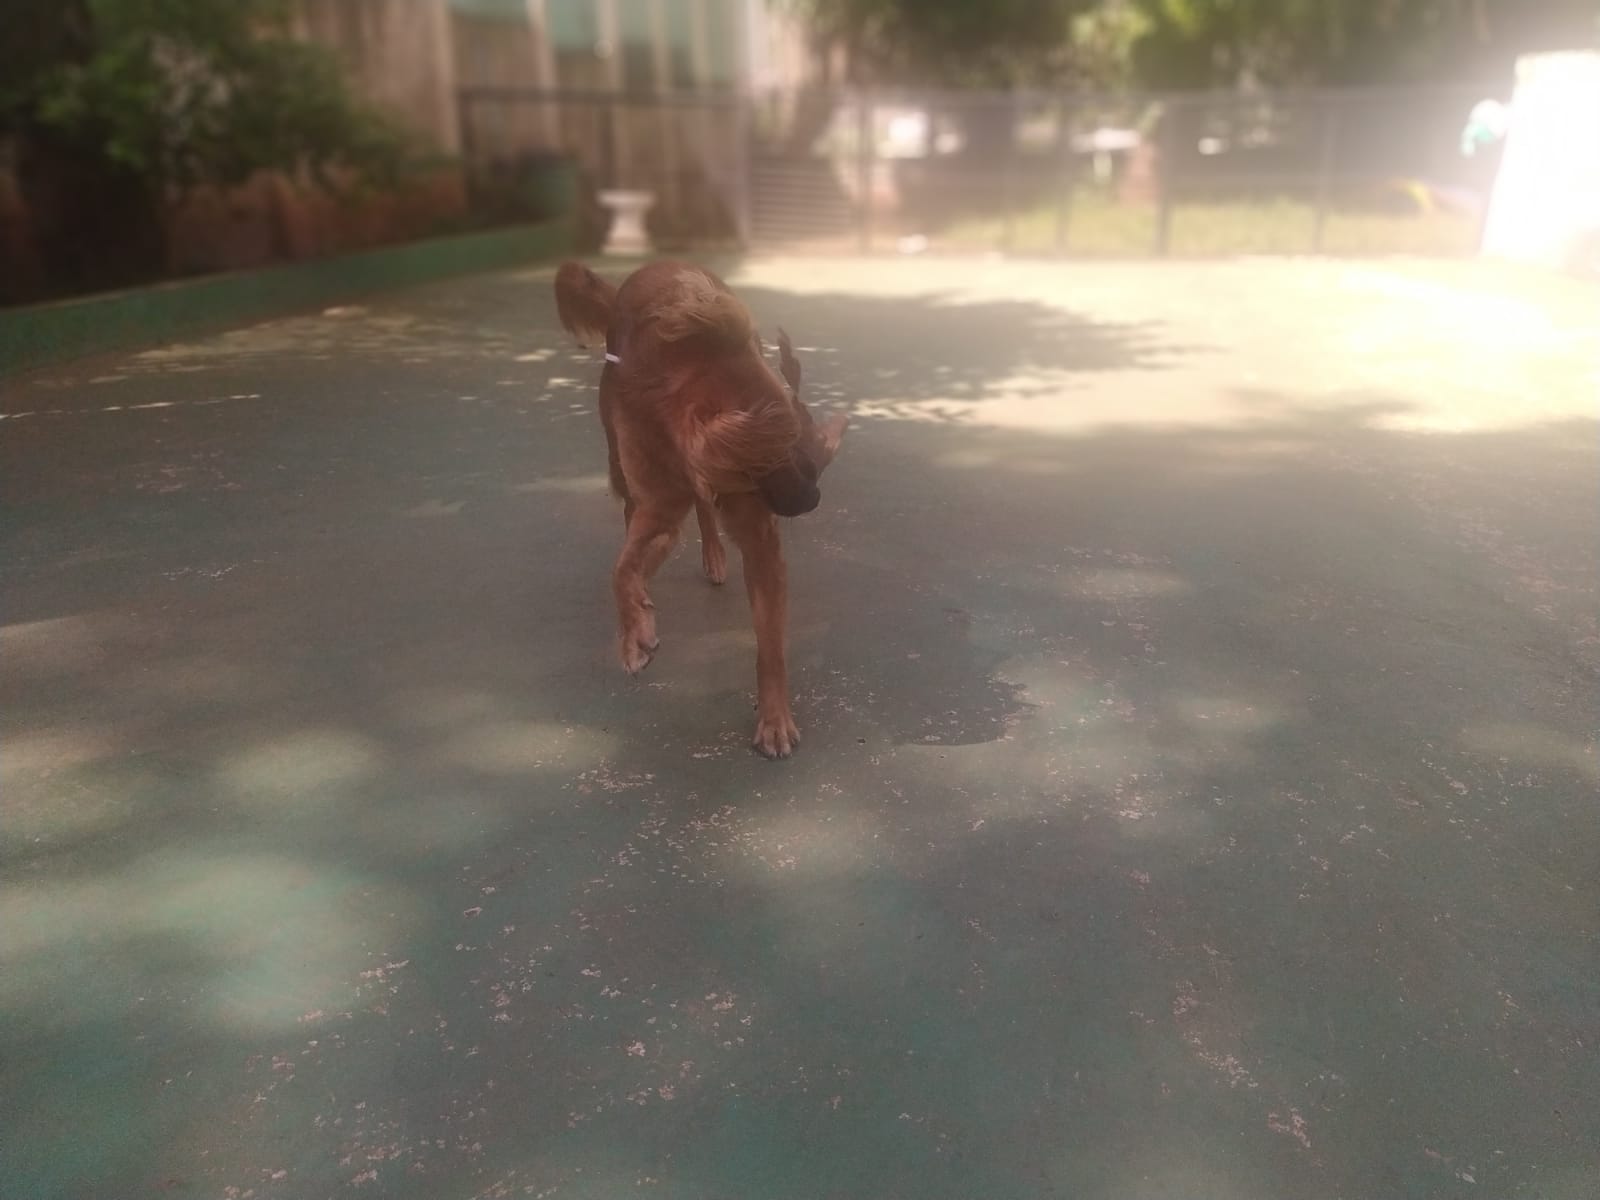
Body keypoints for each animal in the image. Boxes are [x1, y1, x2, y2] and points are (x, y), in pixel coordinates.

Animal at [554, 260, 847, 758]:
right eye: (763, 459)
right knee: (643, 528)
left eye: (796, 445)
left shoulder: (758, 537)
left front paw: (774, 720)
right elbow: (620, 570)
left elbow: (770, 646)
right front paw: (635, 634)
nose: (812, 499)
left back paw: (710, 556)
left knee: (703, 515)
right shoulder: (659, 506)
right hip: (625, 478)